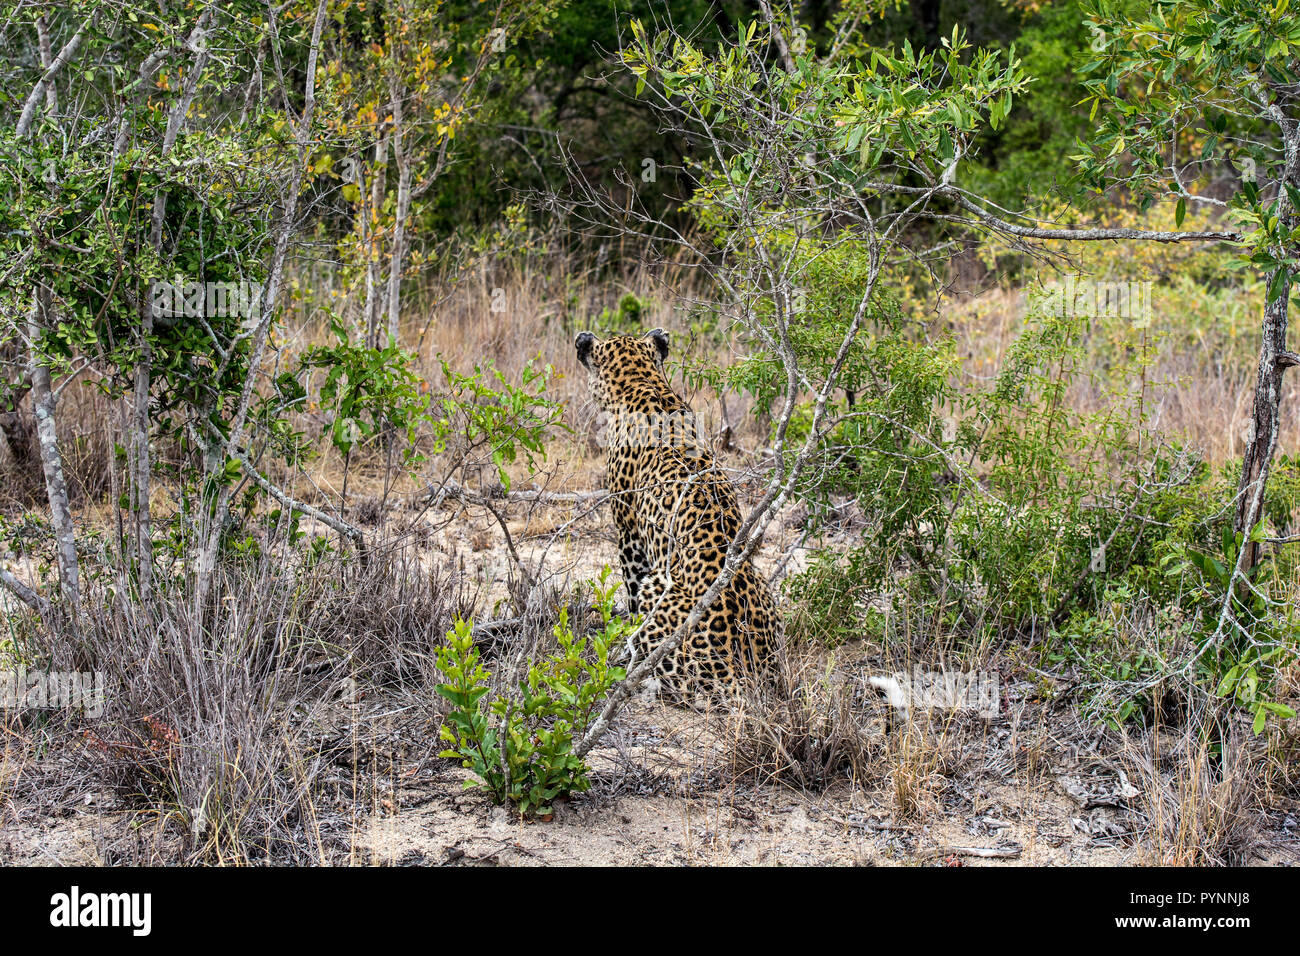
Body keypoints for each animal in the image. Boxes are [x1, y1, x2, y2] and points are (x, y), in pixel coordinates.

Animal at [574, 325, 774, 697]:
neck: (643, 381)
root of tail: (743, 677)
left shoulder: (629, 533)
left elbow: (630, 589)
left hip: (660, 585)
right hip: (762, 582)